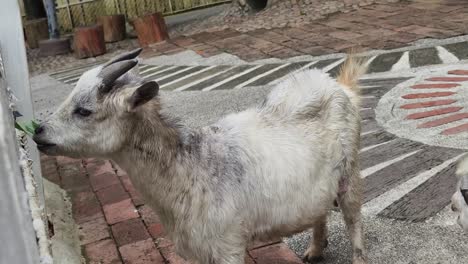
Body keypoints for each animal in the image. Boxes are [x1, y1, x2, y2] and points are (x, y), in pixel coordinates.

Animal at [33, 49, 370, 264]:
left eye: (84, 110)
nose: (38, 132)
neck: (191, 167)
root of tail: (339, 86)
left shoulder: (228, 245)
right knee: (320, 208)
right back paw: (315, 250)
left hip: (351, 169)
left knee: (353, 217)